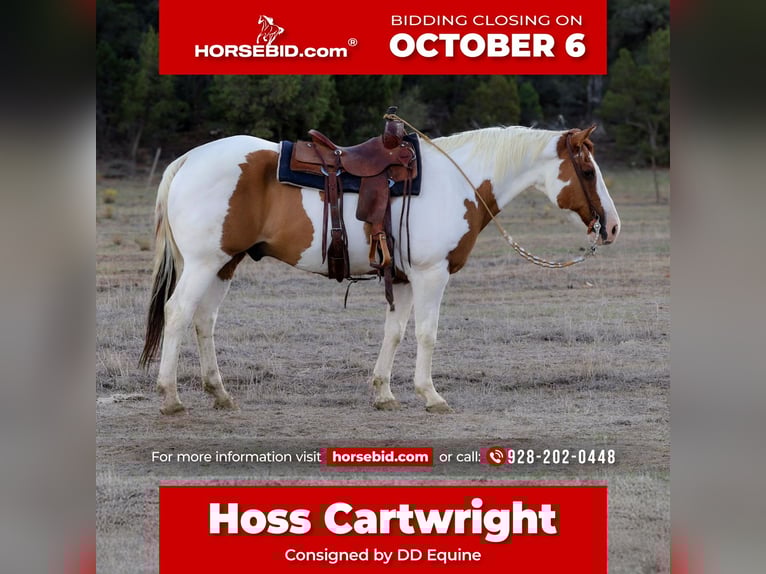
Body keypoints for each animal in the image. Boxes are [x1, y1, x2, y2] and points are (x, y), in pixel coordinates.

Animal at [139, 124, 620, 415]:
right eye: (588, 170)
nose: (612, 226)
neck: (456, 182)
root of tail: (188, 160)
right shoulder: (431, 275)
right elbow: (427, 333)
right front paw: (430, 395)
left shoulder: (403, 279)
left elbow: (396, 332)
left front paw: (384, 392)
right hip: (204, 263)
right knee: (178, 313)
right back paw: (171, 397)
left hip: (225, 263)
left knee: (204, 320)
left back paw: (219, 393)